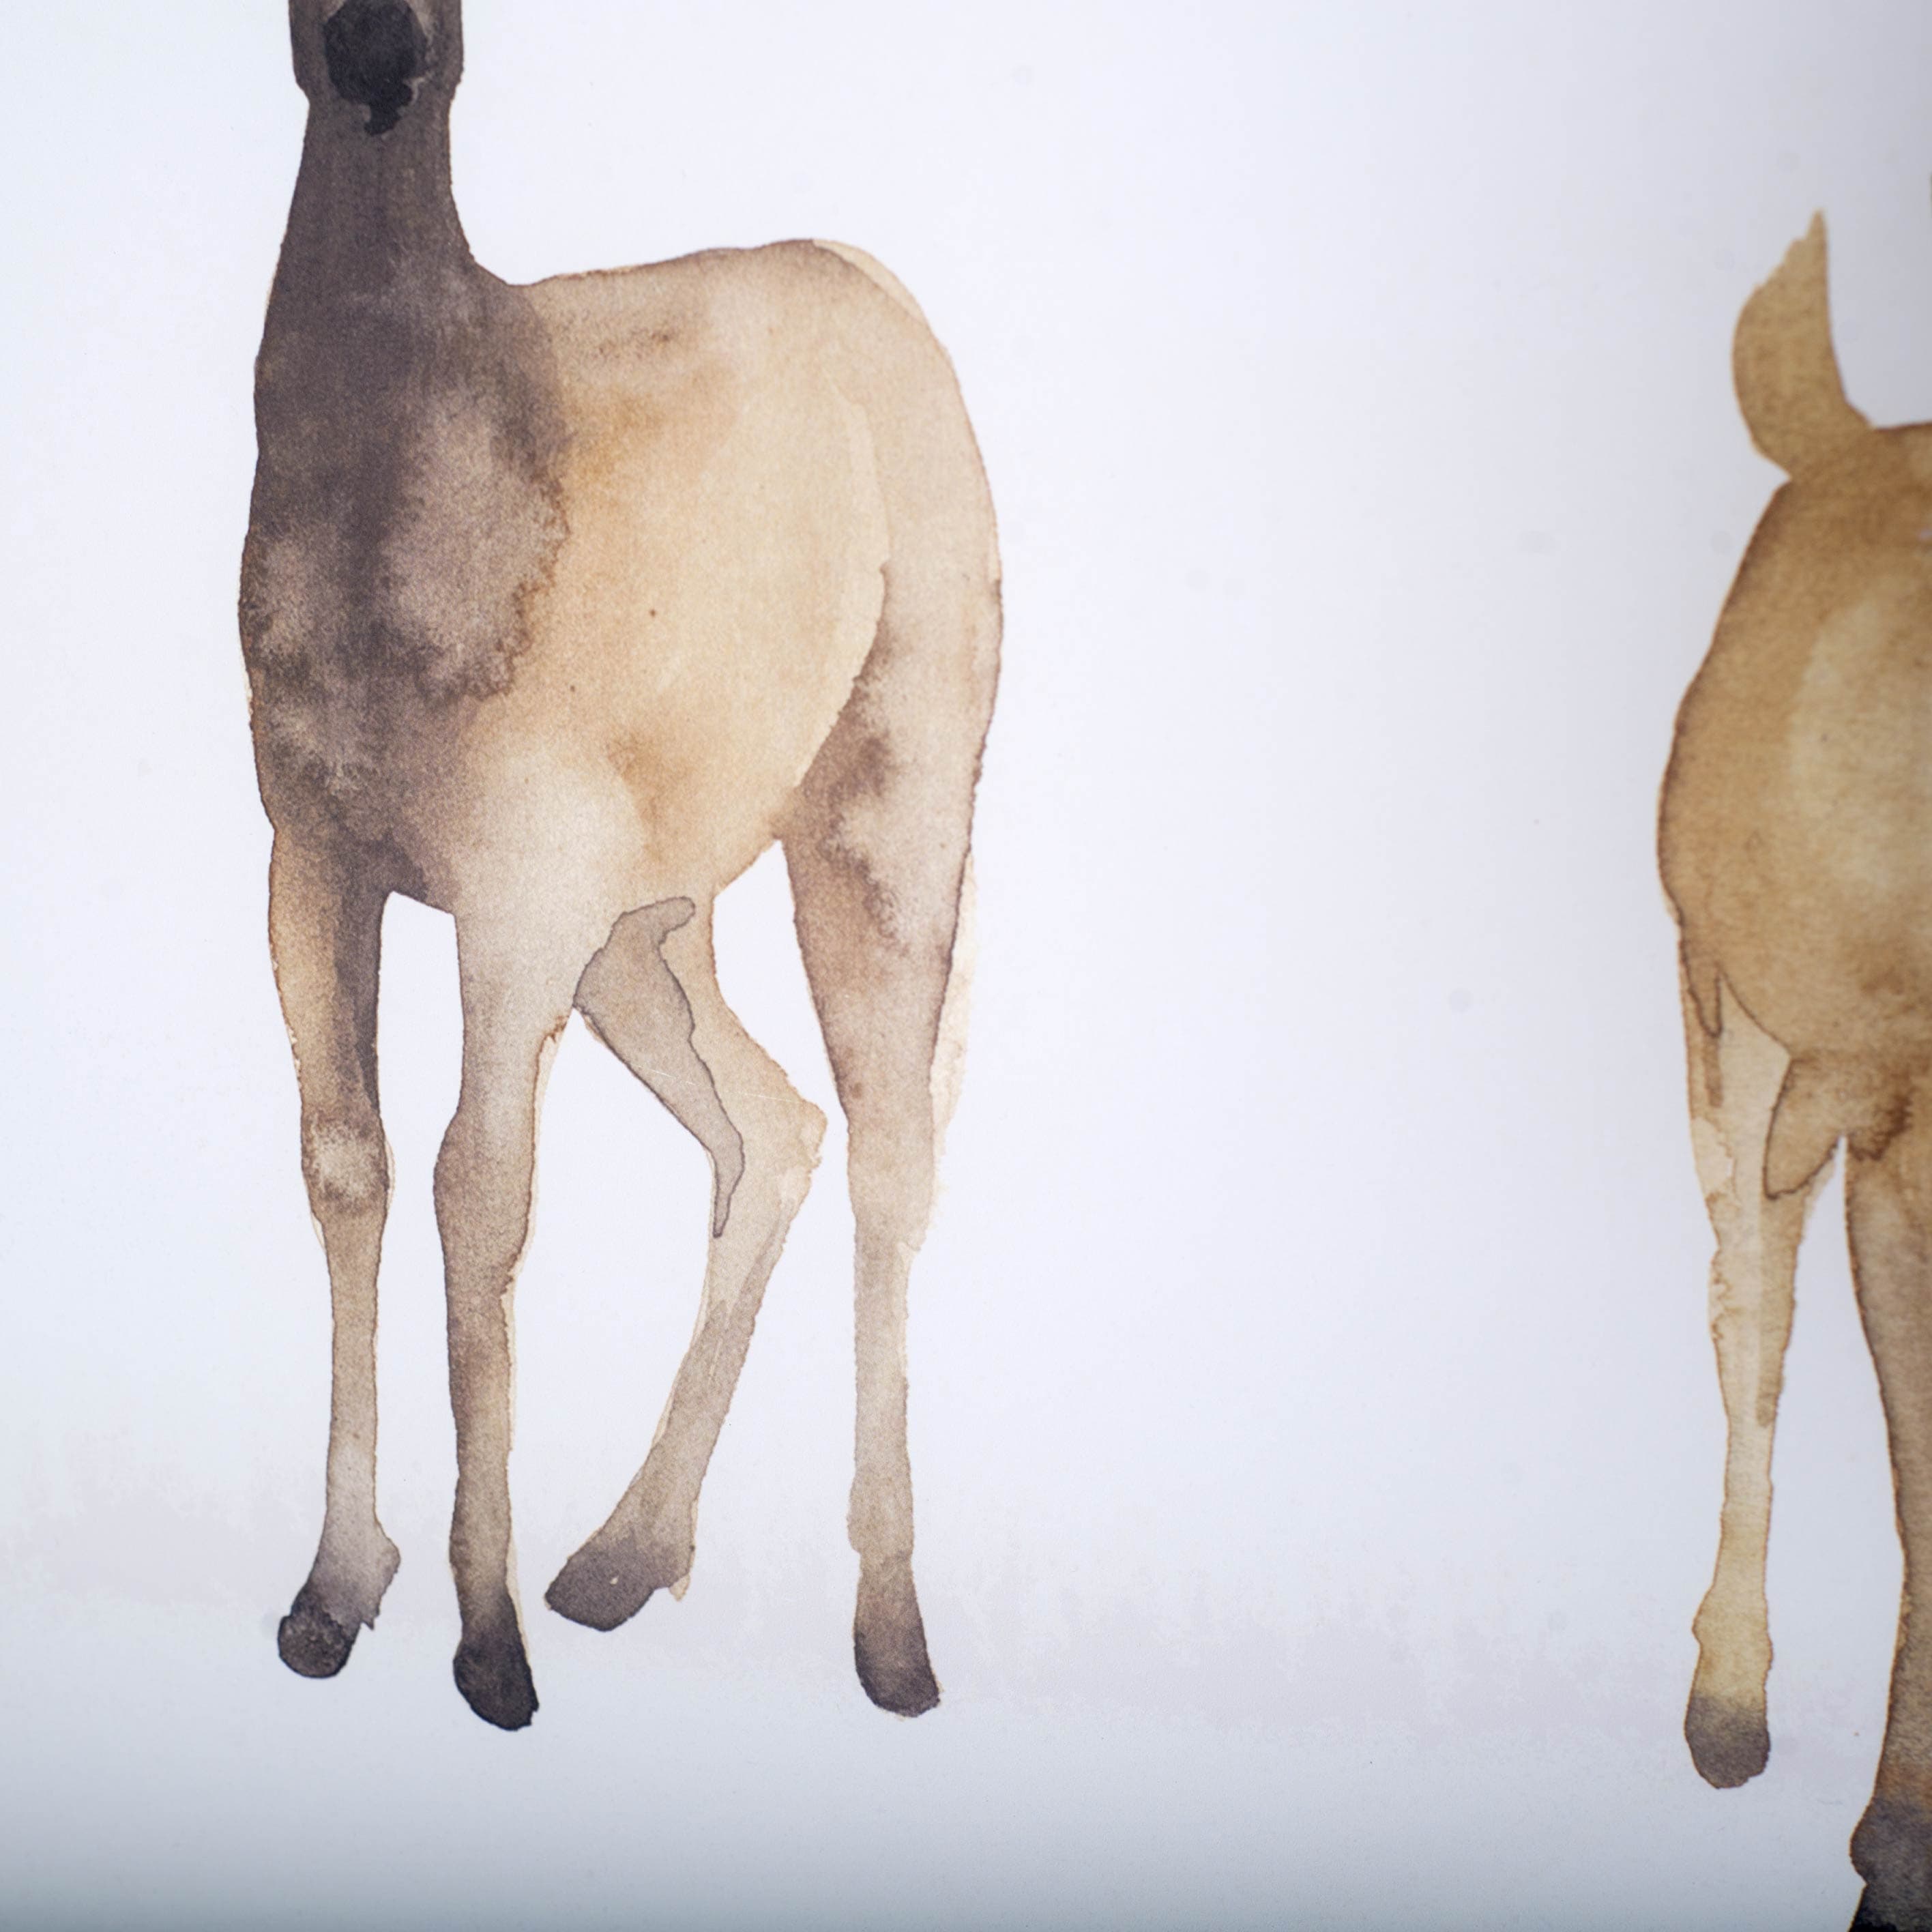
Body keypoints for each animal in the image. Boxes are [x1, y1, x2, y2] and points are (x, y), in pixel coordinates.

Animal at [244, 0, 999, 1732]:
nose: (379, 54)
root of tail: (880, 300)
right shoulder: (311, 855)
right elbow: (348, 1164)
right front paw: (331, 1594)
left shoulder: (513, 885)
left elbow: (480, 1188)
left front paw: (483, 1643)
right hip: (647, 923)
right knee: (776, 1121)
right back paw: (619, 1562)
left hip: (887, 804)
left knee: (889, 1141)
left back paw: (890, 1640)